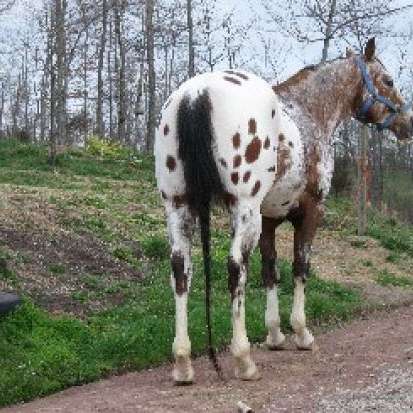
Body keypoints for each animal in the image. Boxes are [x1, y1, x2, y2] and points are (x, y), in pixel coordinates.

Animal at [154, 38, 412, 384]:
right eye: (388, 80)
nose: (407, 124)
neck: (309, 111)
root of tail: (196, 94)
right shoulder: (312, 211)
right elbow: (300, 267)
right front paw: (301, 334)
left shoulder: (269, 219)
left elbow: (270, 270)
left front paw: (275, 335)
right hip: (243, 209)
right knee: (235, 269)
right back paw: (244, 359)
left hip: (178, 206)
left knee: (181, 270)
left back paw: (183, 364)